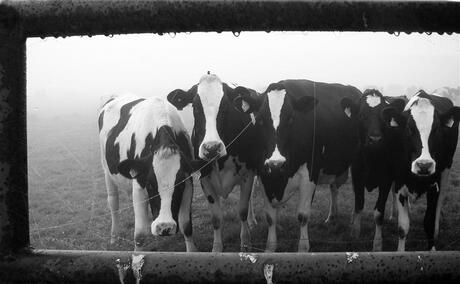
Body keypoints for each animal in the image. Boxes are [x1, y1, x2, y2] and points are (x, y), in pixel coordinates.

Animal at [99, 95, 196, 251]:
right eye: (150, 185)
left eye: (179, 185)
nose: (165, 227)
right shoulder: (139, 185)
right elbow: (140, 235)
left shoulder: (188, 181)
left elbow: (186, 226)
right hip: (107, 170)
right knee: (113, 202)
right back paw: (114, 236)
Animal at [167, 74, 264, 253]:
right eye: (195, 107)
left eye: (225, 106)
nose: (211, 148)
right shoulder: (205, 179)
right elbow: (216, 218)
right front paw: (217, 249)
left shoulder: (247, 174)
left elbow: (242, 210)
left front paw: (245, 243)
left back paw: (252, 221)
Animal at [243, 79, 362, 252]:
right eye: (260, 120)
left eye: (291, 119)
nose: (276, 164)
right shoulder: (265, 174)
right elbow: (270, 218)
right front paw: (270, 248)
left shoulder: (309, 174)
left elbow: (303, 215)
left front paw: (303, 249)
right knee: (334, 188)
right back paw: (332, 217)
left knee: (358, 194)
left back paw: (355, 228)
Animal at [346, 89, 408, 251]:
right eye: (362, 115)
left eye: (384, 117)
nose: (375, 139)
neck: (371, 158)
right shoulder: (357, 177)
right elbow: (359, 204)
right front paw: (355, 233)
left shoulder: (385, 181)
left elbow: (379, 213)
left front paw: (378, 243)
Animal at [396, 90, 460, 251]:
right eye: (409, 129)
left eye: (436, 129)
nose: (424, 165)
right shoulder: (399, 185)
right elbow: (402, 227)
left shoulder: (434, 187)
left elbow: (429, 223)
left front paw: (432, 250)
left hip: (446, 170)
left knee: (440, 202)